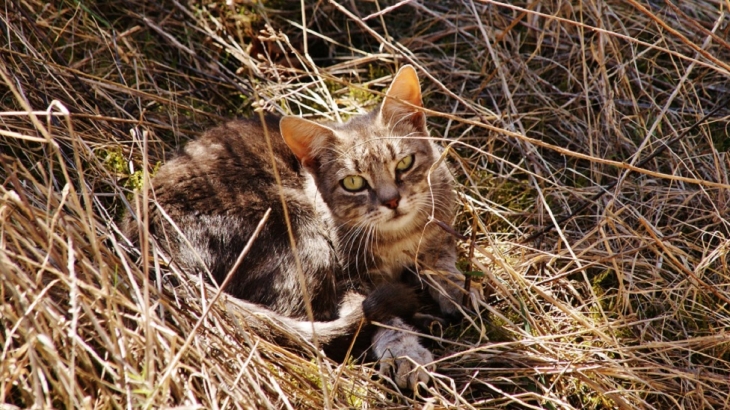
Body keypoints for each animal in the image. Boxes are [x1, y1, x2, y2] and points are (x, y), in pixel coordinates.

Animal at [122, 65, 480, 390]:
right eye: (353, 183)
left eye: (404, 163)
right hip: (298, 232)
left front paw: (460, 290)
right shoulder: (347, 281)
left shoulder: (440, 233)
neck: (399, 238)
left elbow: (443, 263)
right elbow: (381, 318)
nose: (392, 200)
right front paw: (406, 354)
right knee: (307, 325)